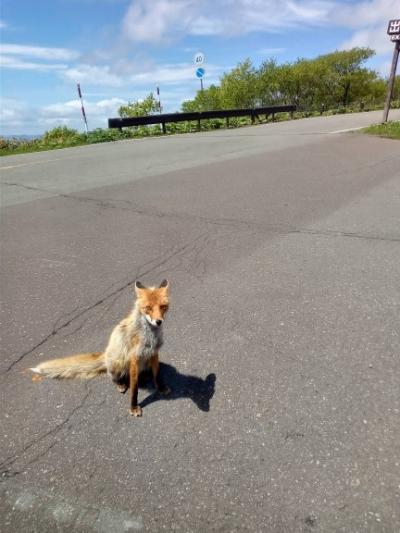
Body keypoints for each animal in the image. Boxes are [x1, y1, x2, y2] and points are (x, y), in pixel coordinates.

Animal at [29, 278, 170, 416]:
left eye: (163, 307)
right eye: (148, 308)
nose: (158, 321)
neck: (150, 337)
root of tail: (106, 354)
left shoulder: (154, 352)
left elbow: (157, 374)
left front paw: (161, 387)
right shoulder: (134, 358)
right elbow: (134, 388)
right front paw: (133, 407)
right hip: (118, 363)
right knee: (114, 376)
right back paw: (120, 383)